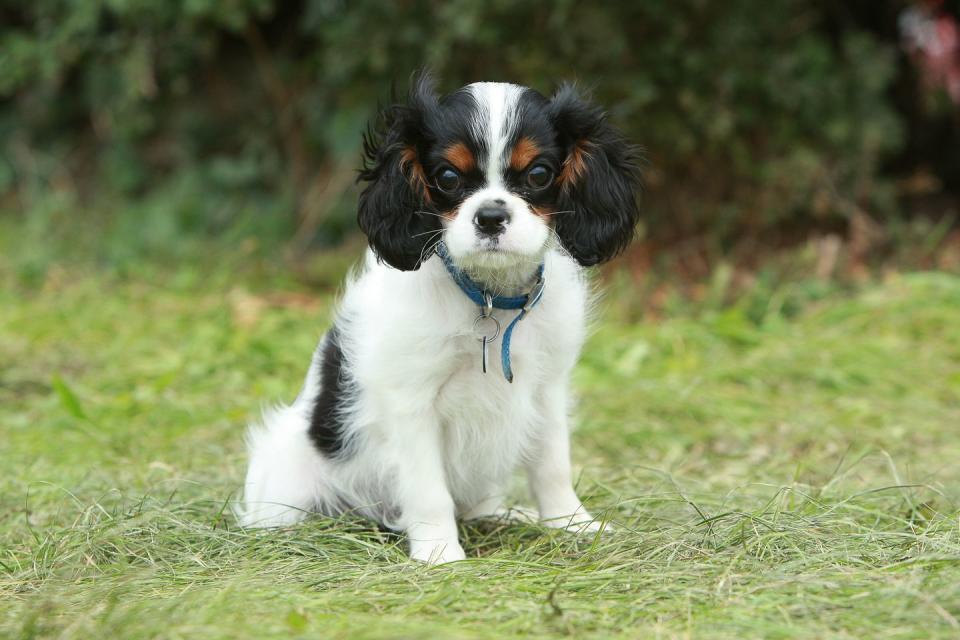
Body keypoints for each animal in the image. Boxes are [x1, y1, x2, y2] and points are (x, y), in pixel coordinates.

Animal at [240, 75, 640, 564]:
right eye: (448, 177)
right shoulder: (412, 401)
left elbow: (552, 465)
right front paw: (439, 551)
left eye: (539, 174)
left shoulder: (547, 388)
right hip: (289, 469)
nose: (491, 216)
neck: (489, 294)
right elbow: (428, 488)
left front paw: (571, 524)